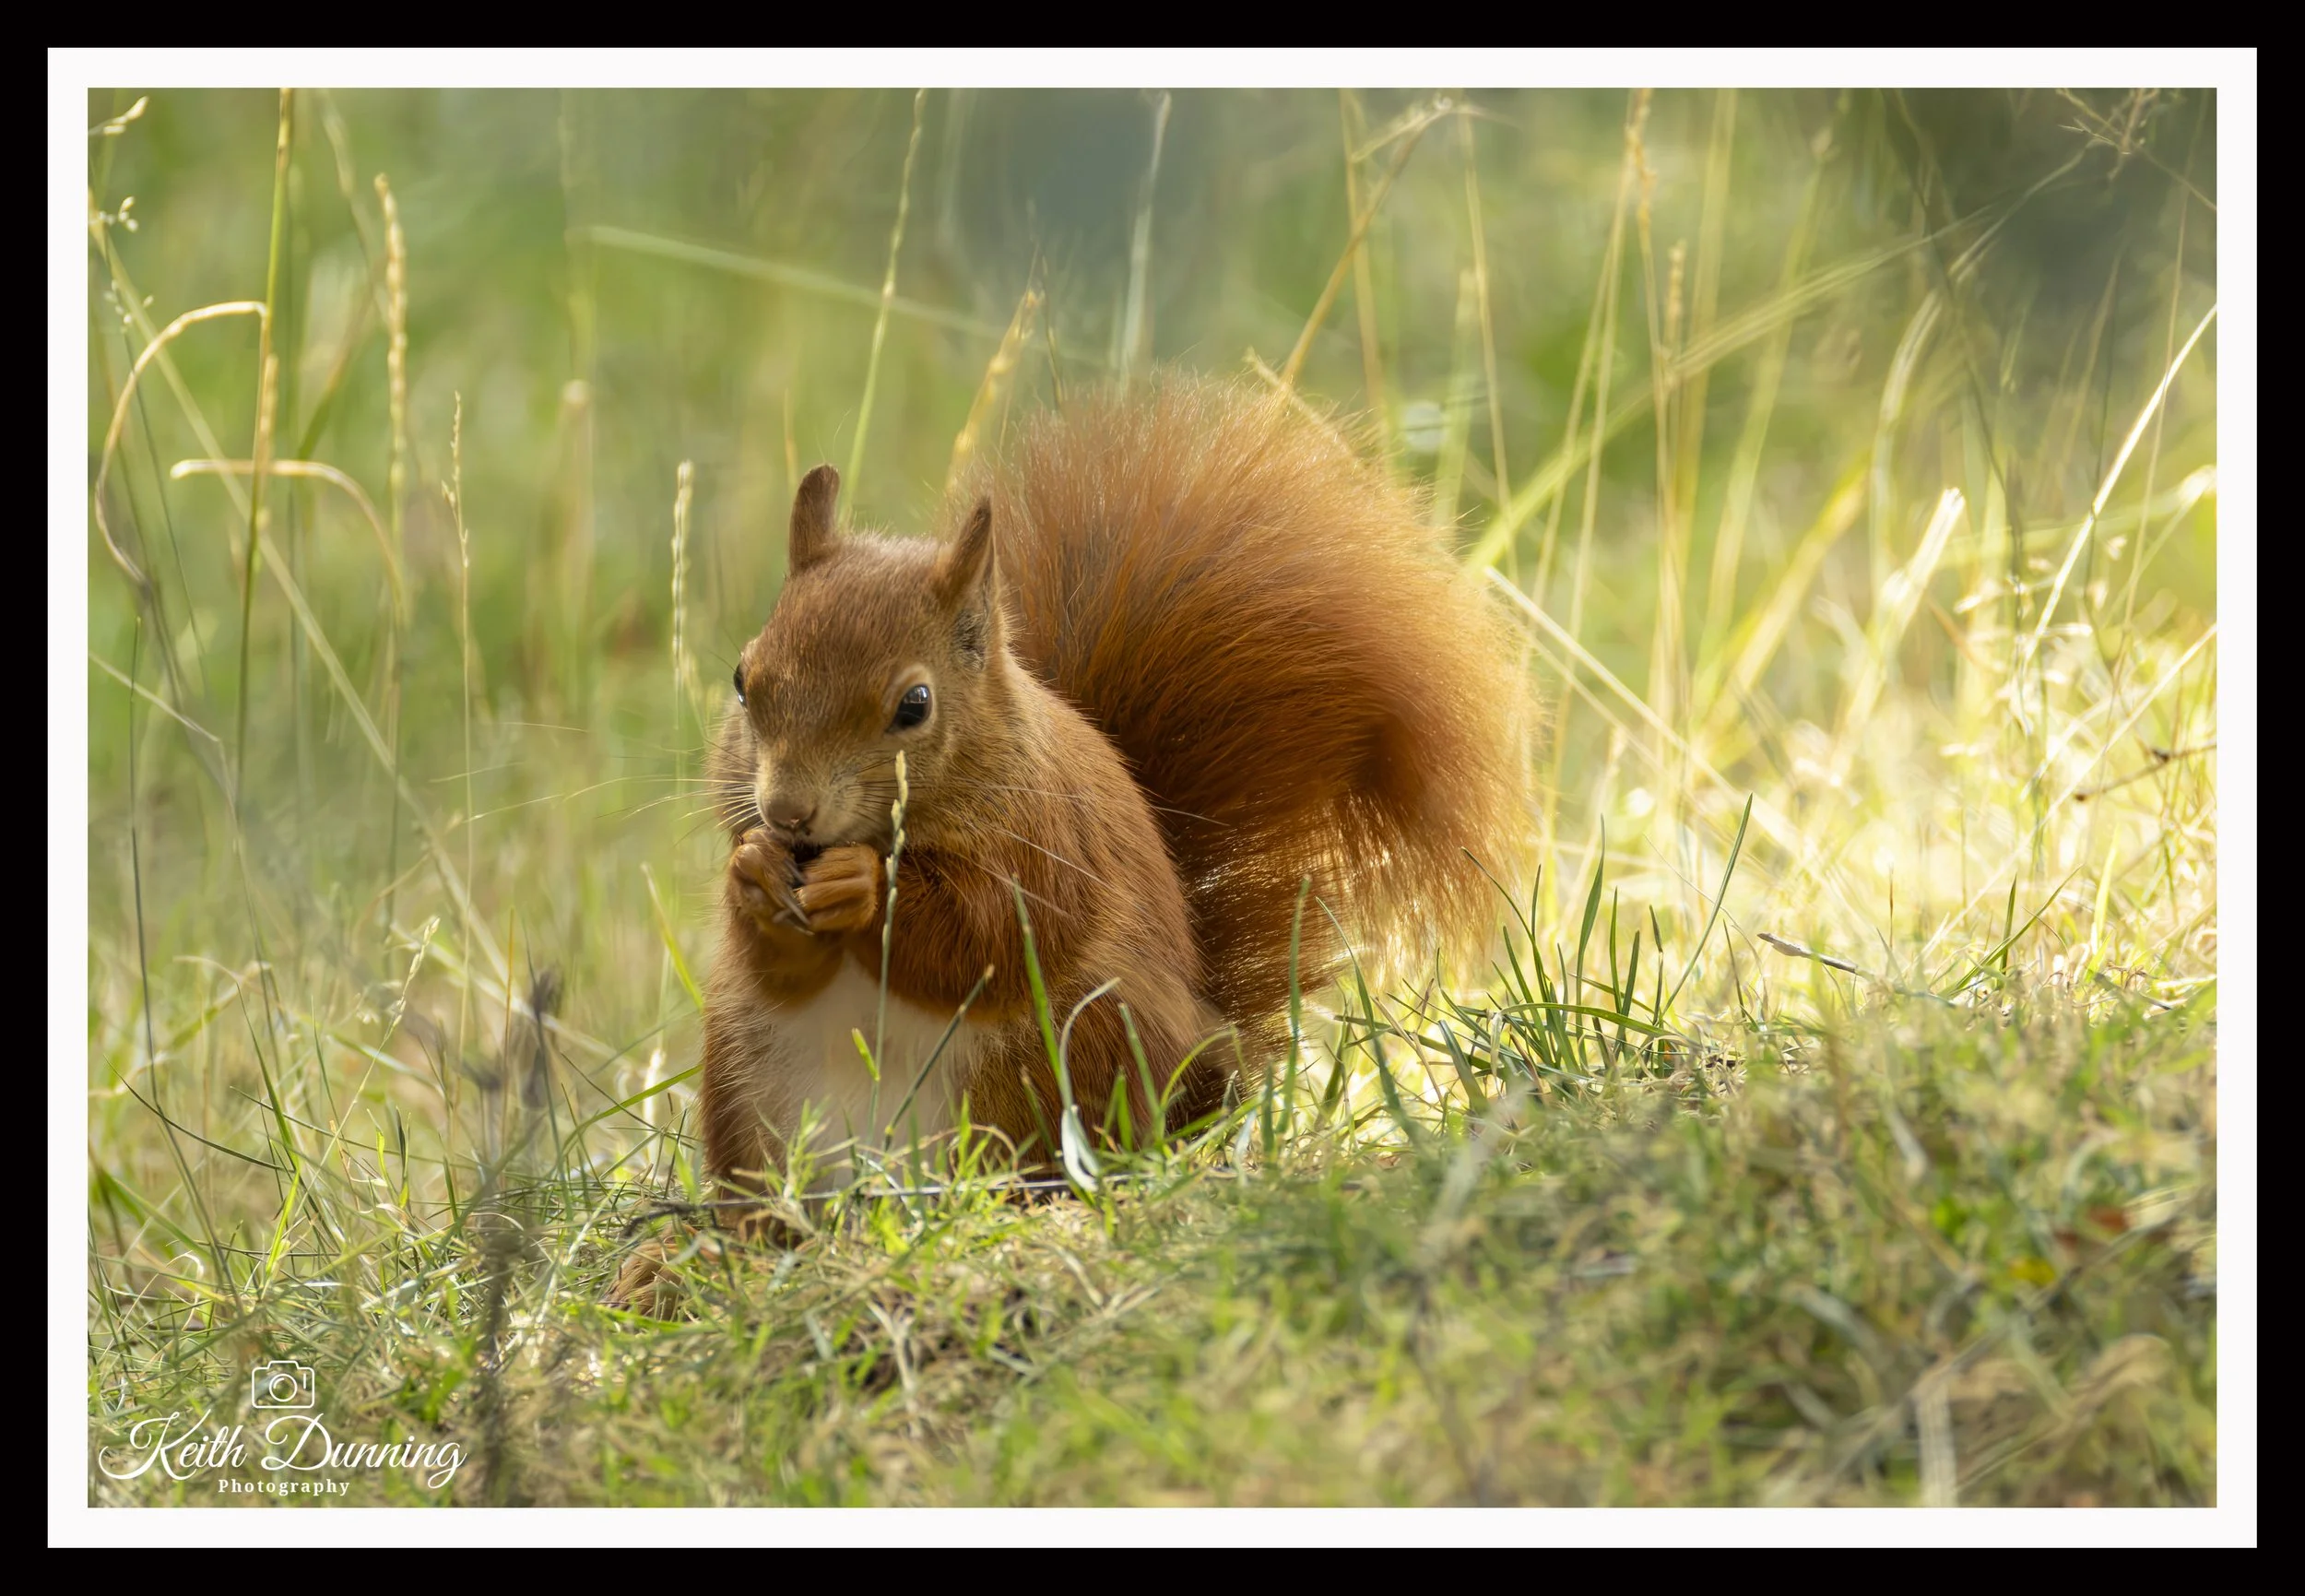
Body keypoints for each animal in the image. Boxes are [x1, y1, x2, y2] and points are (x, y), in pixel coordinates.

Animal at [608, 375, 1532, 1309]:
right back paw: (687, 1260)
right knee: (770, 1216)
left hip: (1059, 1067)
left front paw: (865, 887)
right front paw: (753, 872)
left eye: (914, 704)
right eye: (742, 678)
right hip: (752, 1087)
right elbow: (781, 962)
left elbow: (984, 940)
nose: (787, 811)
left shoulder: (1047, 847)